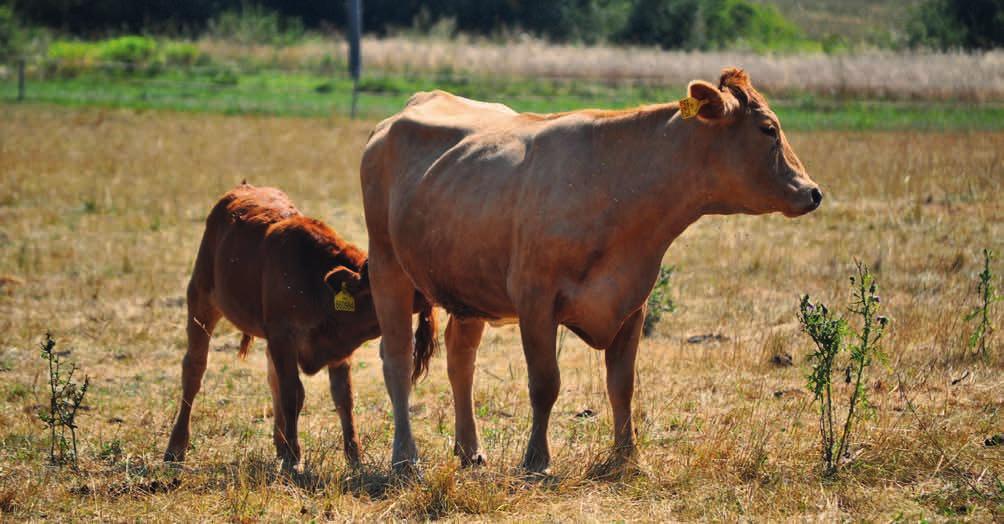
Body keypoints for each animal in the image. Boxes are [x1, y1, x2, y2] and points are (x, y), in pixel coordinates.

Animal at [162, 184, 433, 469]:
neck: (315, 280)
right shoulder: (283, 337)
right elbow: (292, 393)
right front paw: (294, 458)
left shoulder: (336, 348)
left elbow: (343, 398)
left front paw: (354, 458)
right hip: (201, 299)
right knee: (194, 369)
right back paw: (176, 446)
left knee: (272, 378)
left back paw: (280, 444)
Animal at [361, 67, 823, 471]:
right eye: (768, 128)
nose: (813, 191)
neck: (617, 186)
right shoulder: (535, 300)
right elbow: (545, 383)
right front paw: (537, 460)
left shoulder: (631, 300)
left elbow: (622, 384)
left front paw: (628, 457)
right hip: (387, 266)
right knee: (396, 358)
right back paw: (405, 456)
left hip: (467, 285)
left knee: (461, 359)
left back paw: (469, 450)